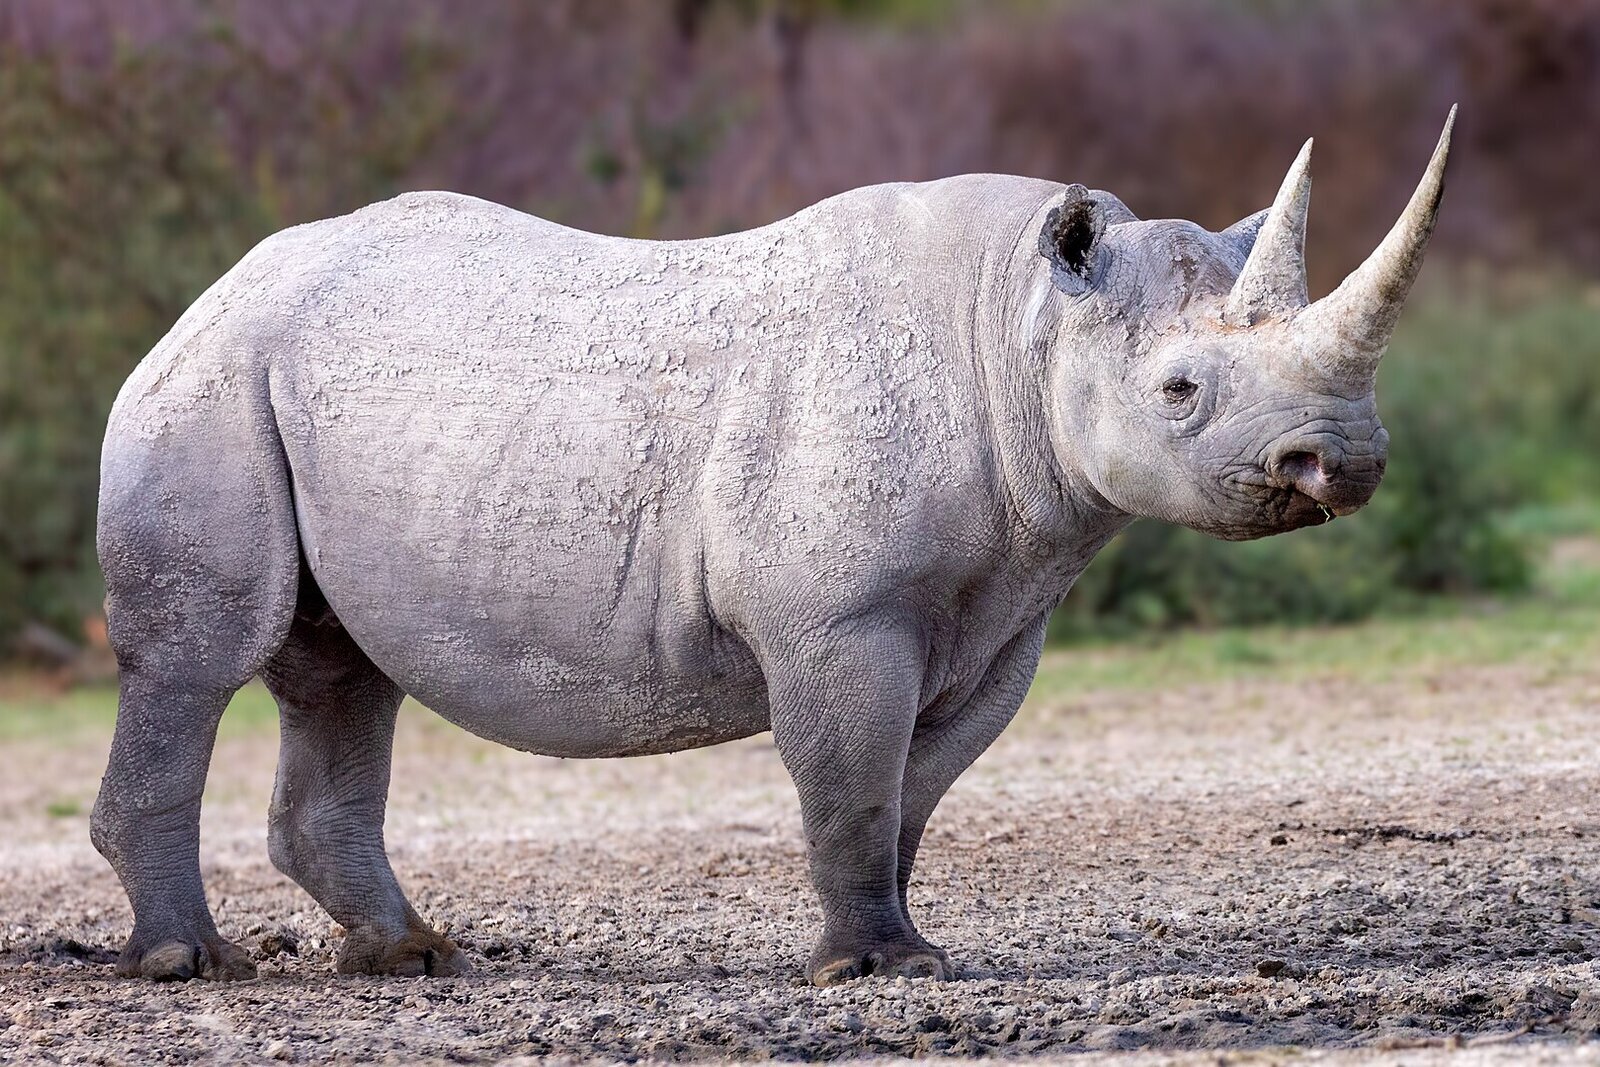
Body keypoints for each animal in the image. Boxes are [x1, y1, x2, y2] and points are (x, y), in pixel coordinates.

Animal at [93, 111, 1454, 985]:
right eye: (1178, 390)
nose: (1340, 463)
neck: (1022, 328)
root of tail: (210, 290)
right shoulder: (837, 616)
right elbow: (850, 778)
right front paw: (873, 971)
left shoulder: (1002, 612)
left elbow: (914, 787)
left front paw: (902, 946)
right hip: (205, 386)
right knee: (203, 659)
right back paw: (190, 962)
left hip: (296, 389)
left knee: (341, 668)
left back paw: (411, 957)